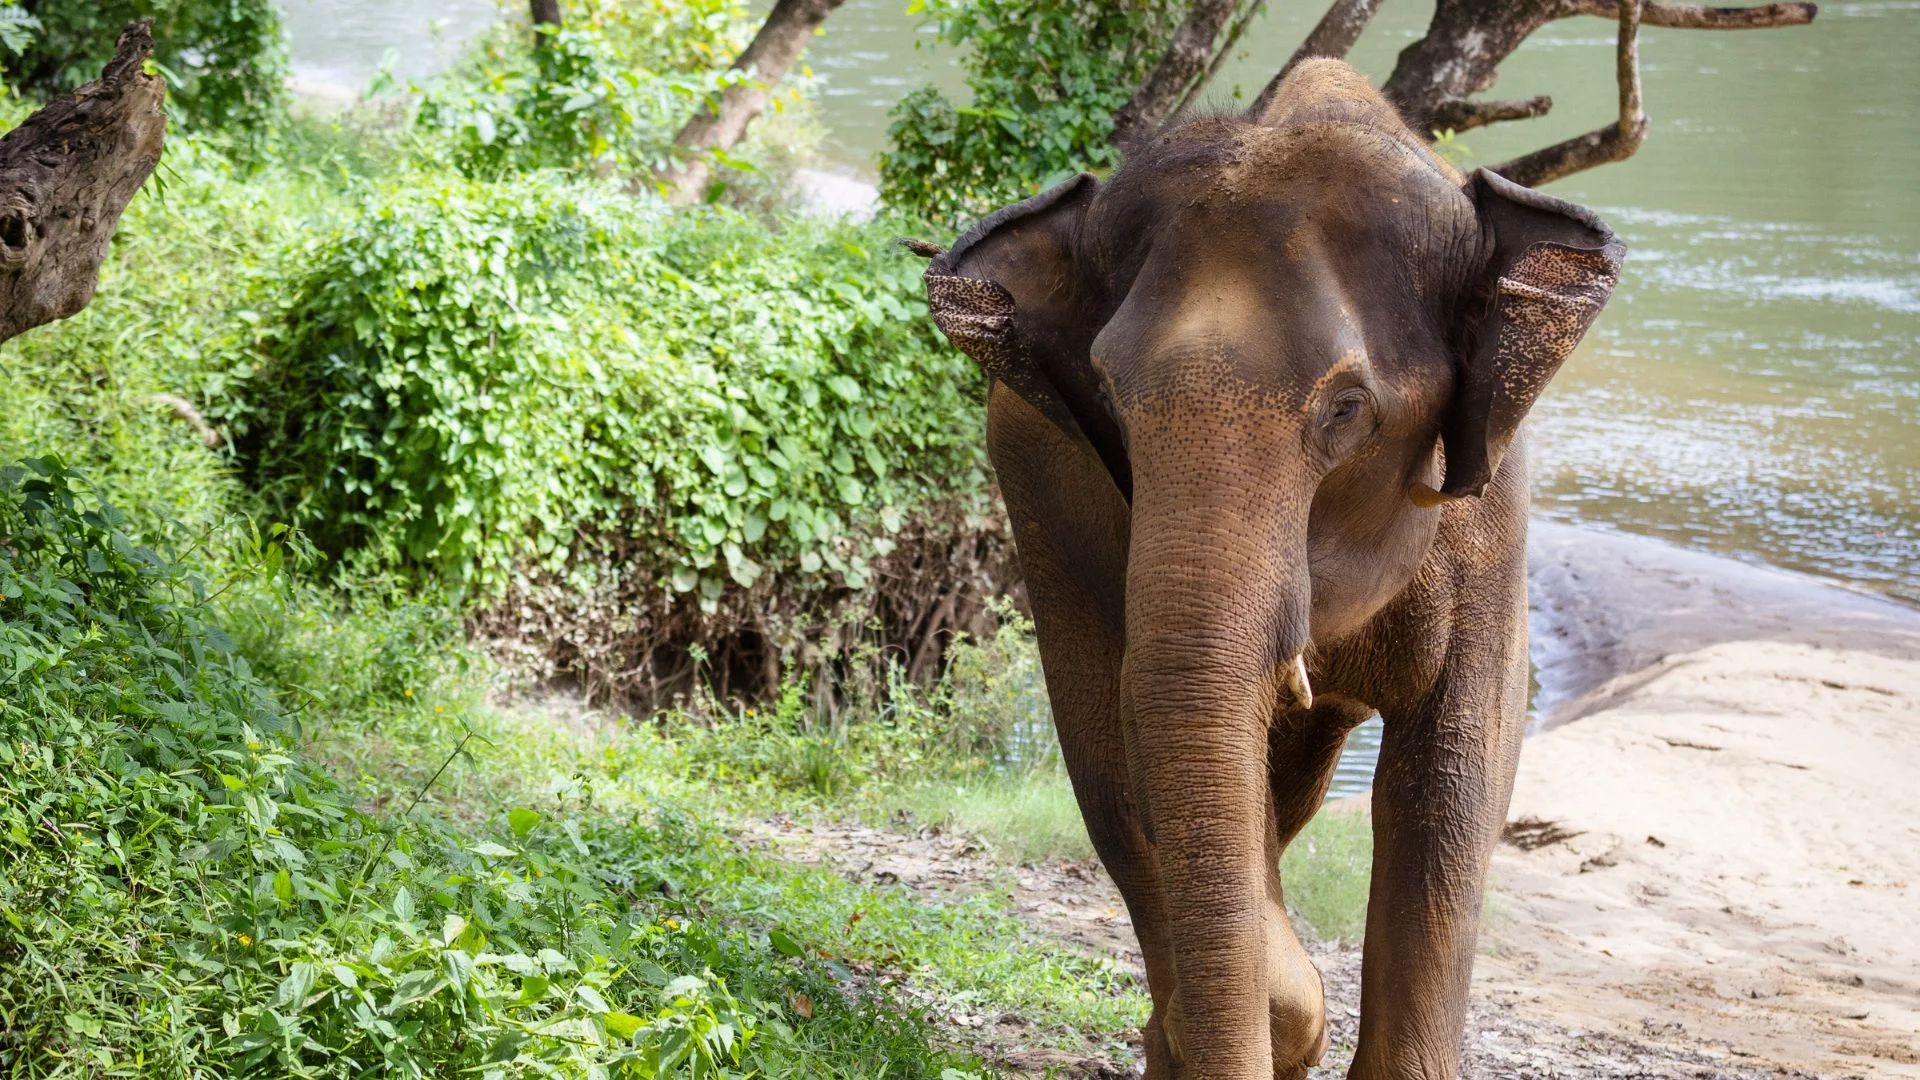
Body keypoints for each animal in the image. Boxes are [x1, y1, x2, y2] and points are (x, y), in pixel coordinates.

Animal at [908, 60, 1624, 1079]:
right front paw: (1287, 1017)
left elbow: (1453, 782)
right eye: (1110, 399)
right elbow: (1138, 758)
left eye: (1347, 410)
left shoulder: (1495, 522)